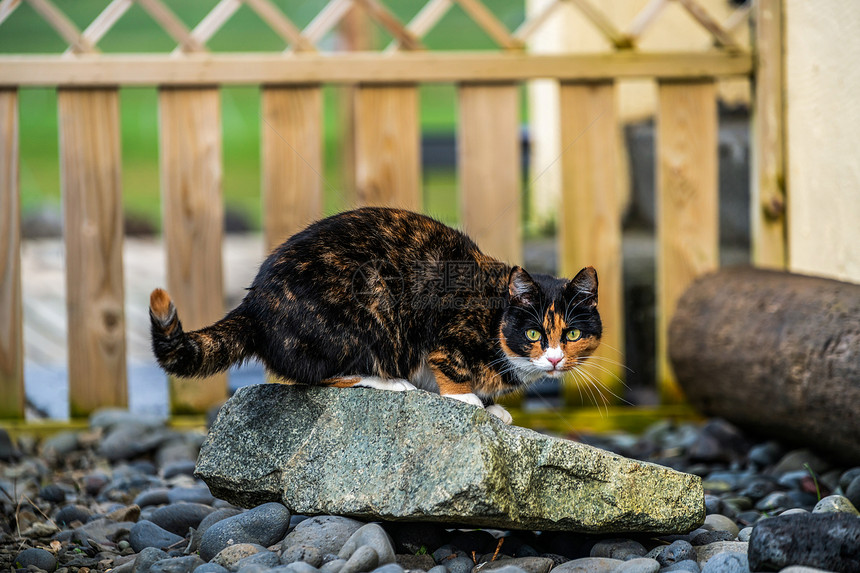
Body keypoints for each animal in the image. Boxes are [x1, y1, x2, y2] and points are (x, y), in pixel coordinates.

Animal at [151, 208, 600, 422]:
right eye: (534, 334)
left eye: (572, 335)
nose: (555, 358)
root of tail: (254, 303)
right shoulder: (445, 328)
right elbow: (448, 363)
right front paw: (470, 399)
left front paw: (493, 407)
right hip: (363, 313)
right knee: (318, 376)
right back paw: (390, 382)